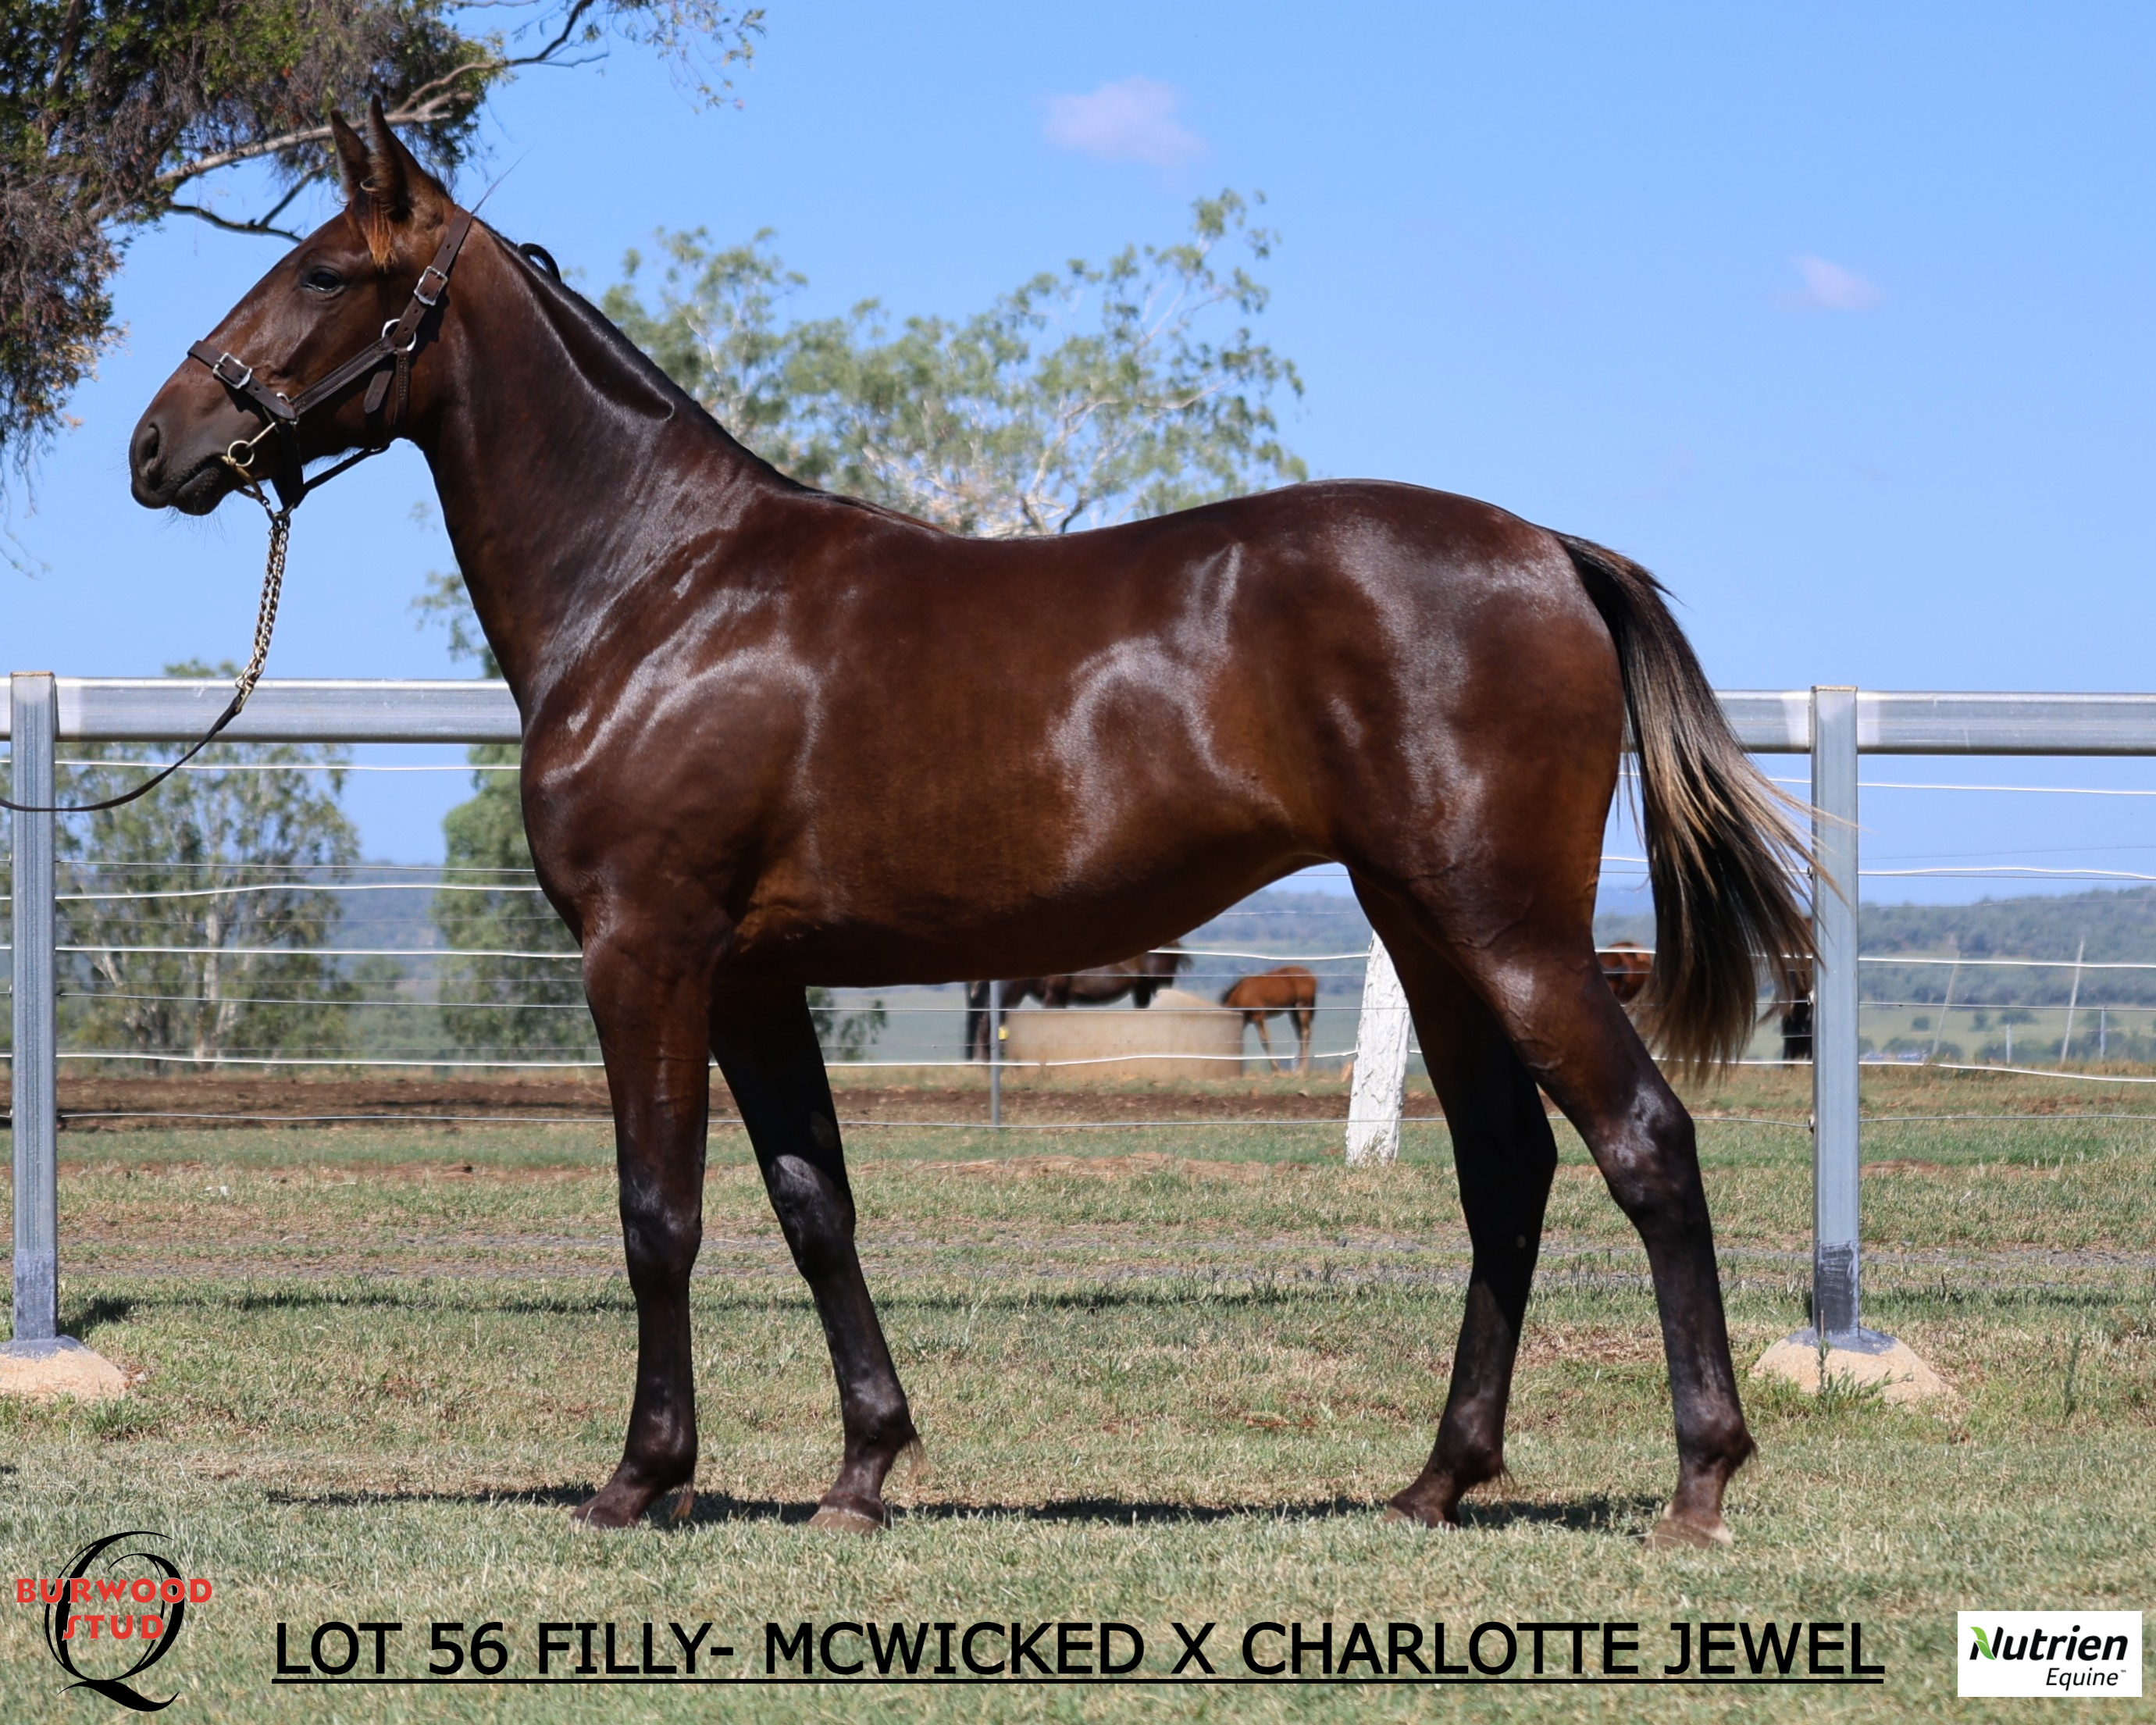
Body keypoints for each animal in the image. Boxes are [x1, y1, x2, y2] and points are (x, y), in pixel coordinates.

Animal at [1222, 965, 1318, 1073]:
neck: (1242, 994)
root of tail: (1312, 976)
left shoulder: (1258, 1016)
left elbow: (1265, 1041)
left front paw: (1276, 1069)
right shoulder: (1244, 1021)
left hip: (1302, 1006)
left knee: (1306, 1032)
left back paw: (1301, 1070)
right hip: (1293, 1011)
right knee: (1301, 1033)